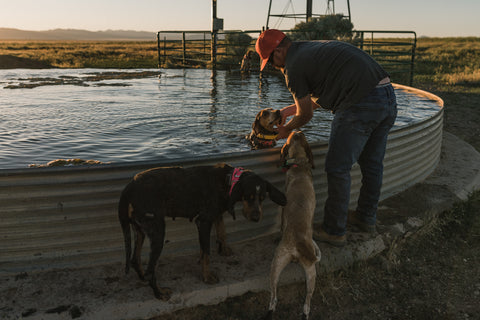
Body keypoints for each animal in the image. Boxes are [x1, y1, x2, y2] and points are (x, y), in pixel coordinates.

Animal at [118, 162, 286, 300]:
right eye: (248, 197)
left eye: (263, 198)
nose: (256, 218)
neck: (228, 180)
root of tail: (128, 188)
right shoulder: (204, 221)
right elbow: (207, 253)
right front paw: (207, 277)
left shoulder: (215, 215)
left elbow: (221, 232)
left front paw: (223, 249)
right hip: (157, 231)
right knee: (150, 270)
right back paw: (159, 293)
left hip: (140, 229)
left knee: (135, 260)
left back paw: (143, 279)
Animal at [264, 131, 320, 320]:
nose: (297, 130)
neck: (298, 164)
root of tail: (297, 244)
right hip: (308, 271)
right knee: (306, 302)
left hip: (279, 266)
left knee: (274, 299)